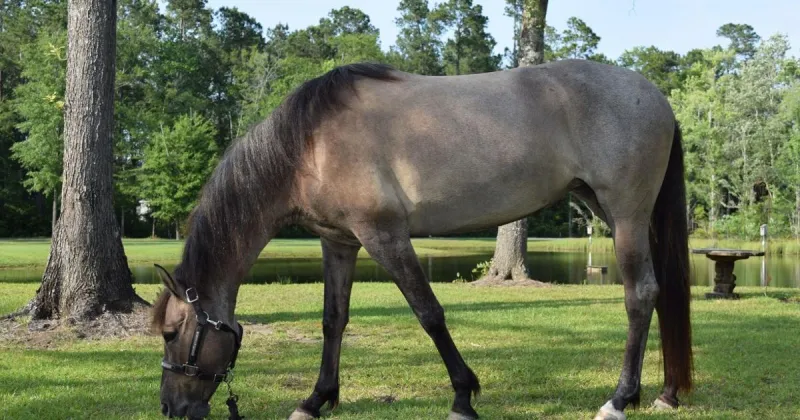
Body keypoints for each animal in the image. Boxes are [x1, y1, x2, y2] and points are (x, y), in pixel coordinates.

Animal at [150, 59, 692, 420]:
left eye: (172, 333)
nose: (172, 408)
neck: (309, 146)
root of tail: (656, 96)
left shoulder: (384, 236)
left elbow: (429, 314)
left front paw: (463, 397)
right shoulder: (339, 243)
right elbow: (333, 320)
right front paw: (317, 399)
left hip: (625, 214)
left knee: (640, 295)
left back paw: (619, 398)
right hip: (617, 213)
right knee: (658, 292)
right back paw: (663, 392)